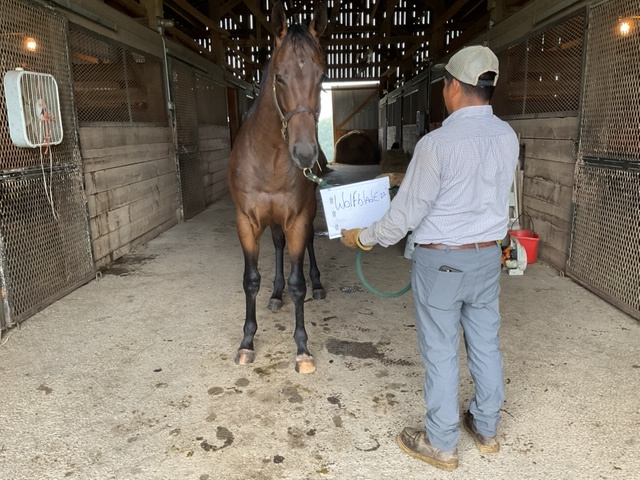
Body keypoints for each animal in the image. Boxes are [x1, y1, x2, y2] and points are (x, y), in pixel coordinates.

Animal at [228, 0, 328, 376]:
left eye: (322, 76)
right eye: (279, 76)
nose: (305, 153)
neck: (269, 157)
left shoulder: (297, 218)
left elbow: (299, 285)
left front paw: (302, 349)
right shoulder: (246, 221)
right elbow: (250, 279)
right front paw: (246, 342)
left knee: (309, 246)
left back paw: (318, 284)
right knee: (278, 246)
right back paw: (275, 294)